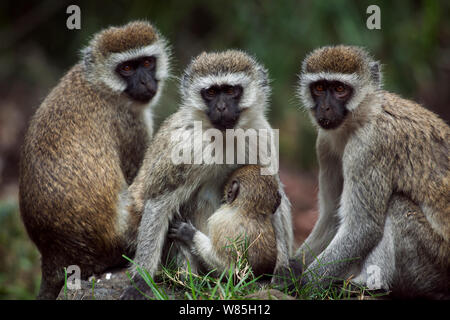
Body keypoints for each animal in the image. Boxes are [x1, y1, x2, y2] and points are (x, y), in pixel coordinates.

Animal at [18, 21, 171, 298]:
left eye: (147, 63)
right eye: (127, 68)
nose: (145, 81)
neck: (98, 83)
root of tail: (55, 256)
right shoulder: (131, 125)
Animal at [121, 50, 294, 300]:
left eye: (230, 91)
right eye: (211, 93)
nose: (221, 107)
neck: (225, 135)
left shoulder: (261, 135)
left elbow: (275, 196)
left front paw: (282, 270)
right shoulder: (187, 146)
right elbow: (159, 200)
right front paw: (140, 280)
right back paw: (191, 279)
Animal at [290, 45, 448, 300]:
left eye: (340, 89)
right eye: (320, 88)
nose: (325, 108)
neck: (363, 116)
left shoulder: (369, 146)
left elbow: (362, 228)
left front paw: (302, 287)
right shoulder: (324, 144)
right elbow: (331, 218)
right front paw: (283, 272)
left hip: (434, 265)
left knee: (396, 206)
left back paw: (367, 286)